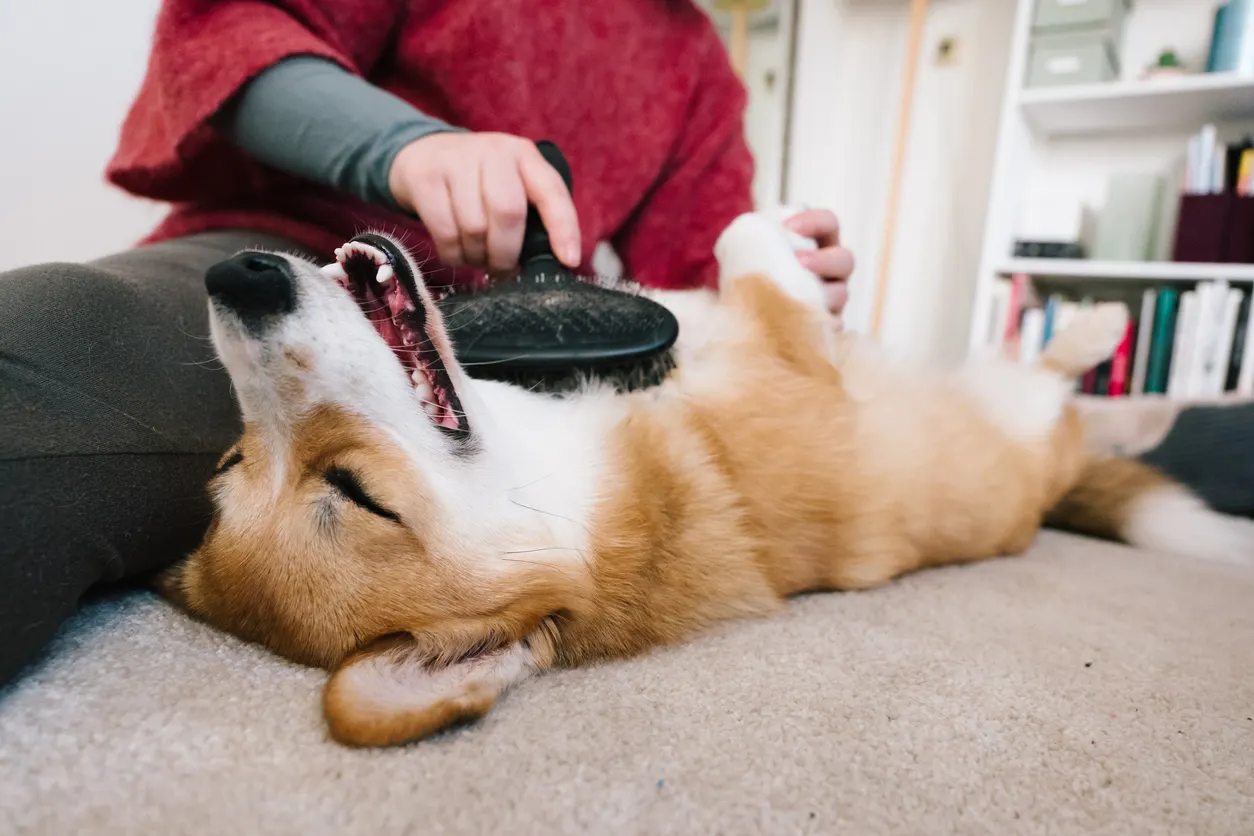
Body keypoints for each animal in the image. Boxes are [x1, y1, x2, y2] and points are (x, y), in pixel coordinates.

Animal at [159, 213, 1254, 747]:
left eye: (228, 461)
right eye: (362, 493)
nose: (237, 279)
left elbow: (717, 257)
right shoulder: (791, 358)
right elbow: (747, 247)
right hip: (1028, 436)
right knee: (1056, 403)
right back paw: (1106, 345)